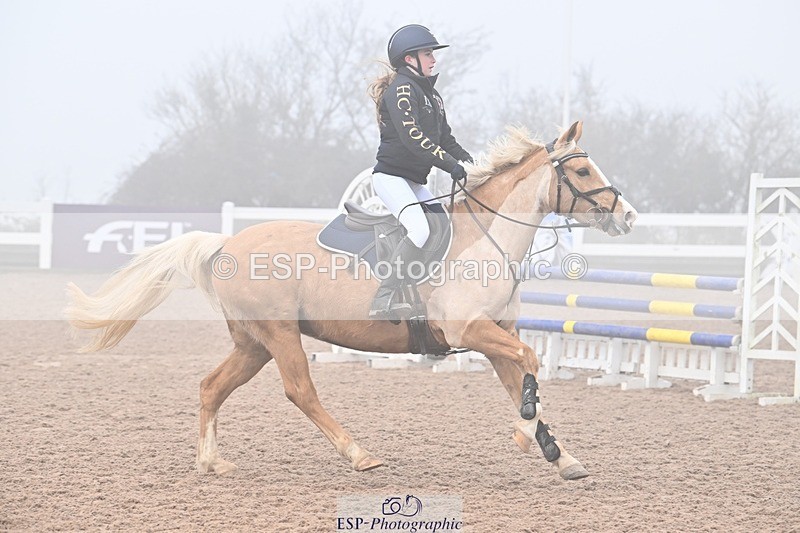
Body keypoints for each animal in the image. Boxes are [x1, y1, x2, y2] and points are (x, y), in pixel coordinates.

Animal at [65, 121, 638, 481]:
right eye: (582, 172)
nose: (627, 216)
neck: (486, 236)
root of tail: (226, 244)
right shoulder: (470, 331)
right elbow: (531, 364)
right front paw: (525, 438)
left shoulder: (498, 334)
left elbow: (524, 380)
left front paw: (560, 457)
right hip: (278, 335)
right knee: (301, 391)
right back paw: (360, 455)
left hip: (253, 343)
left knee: (211, 387)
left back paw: (212, 463)